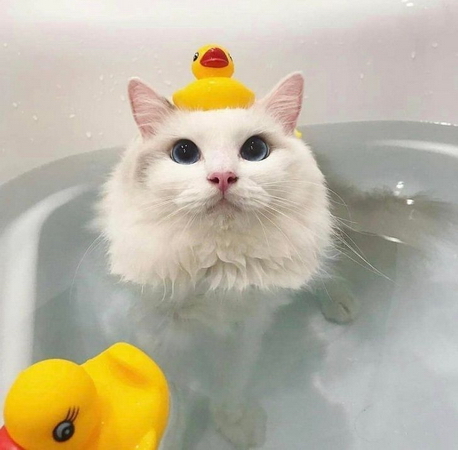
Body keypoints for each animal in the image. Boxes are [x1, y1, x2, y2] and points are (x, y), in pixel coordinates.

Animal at [96, 73, 332, 446]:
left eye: (254, 150)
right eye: (184, 152)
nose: (222, 177)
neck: (218, 267)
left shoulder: (246, 328)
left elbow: (231, 381)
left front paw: (235, 424)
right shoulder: (158, 331)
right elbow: (173, 394)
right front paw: (172, 436)